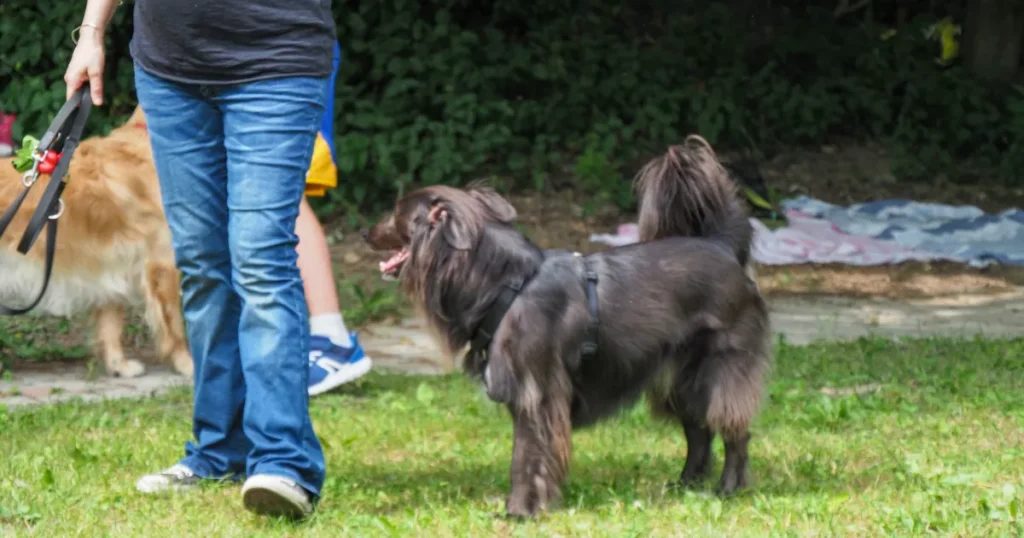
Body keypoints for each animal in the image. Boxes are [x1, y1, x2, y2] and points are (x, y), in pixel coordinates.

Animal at [0, 107, 192, 377]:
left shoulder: (110, 264)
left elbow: (111, 323)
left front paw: (118, 365)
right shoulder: (162, 263)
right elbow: (174, 324)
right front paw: (188, 365)